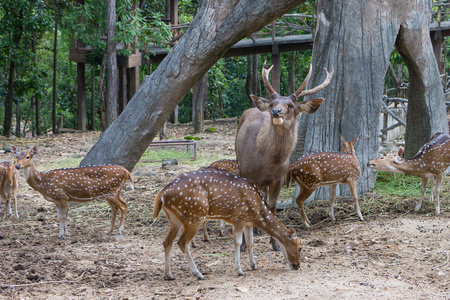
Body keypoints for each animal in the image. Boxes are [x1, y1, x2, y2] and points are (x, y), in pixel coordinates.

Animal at [152, 168, 302, 280]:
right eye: (300, 247)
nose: (297, 266)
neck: (257, 212)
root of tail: (162, 194)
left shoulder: (248, 222)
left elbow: (251, 242)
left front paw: (253, 265)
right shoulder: (238, 219)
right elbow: (238, 242)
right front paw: (240, 270)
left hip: (175, 219)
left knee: (167, 241)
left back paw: (169, 275)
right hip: (195, 216)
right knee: (182, 242)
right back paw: (198, 274)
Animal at [236, 61, 334, 251]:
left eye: (290, 106)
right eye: (273, 102)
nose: (275, 111)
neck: (266, 163)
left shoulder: (278, 179)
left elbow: (273, 208)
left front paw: (275, 244)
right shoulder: (247, 175)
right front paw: (243, 245)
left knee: (264, 199)